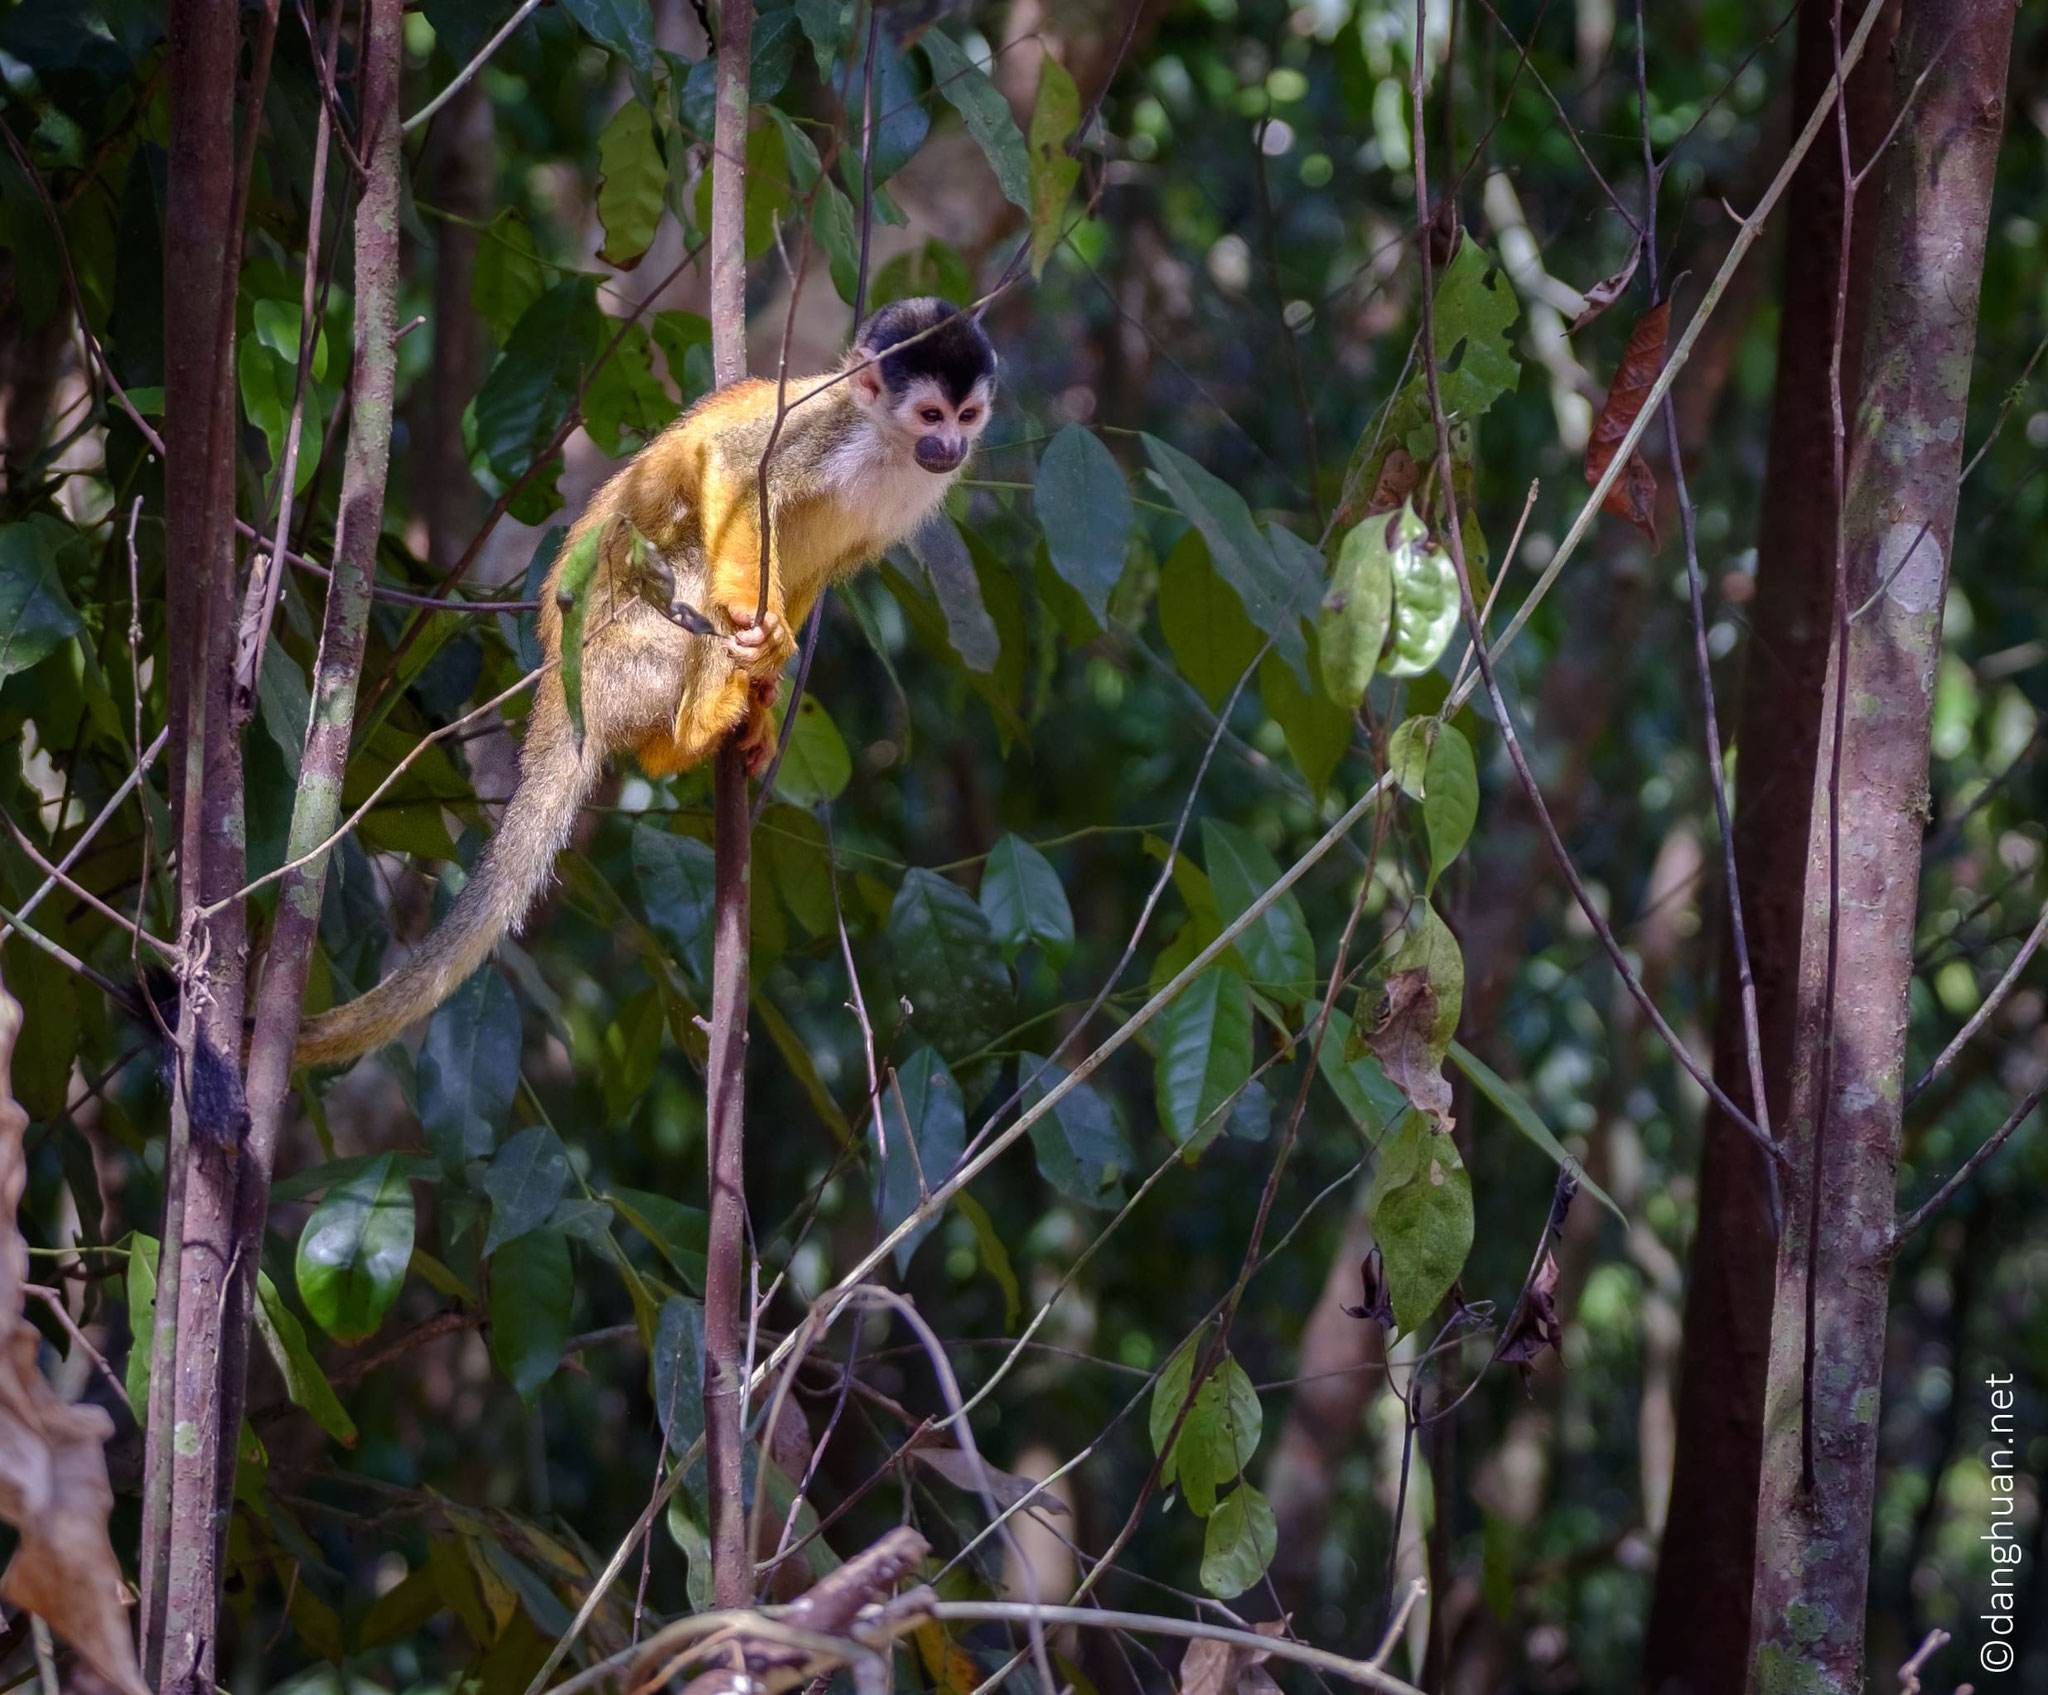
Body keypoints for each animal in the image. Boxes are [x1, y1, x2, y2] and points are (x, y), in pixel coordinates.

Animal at [293, 298, 996, 1069]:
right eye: (930, 415)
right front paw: (754, 624)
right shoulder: (827, 424)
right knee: (688, 561)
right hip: (618, 649)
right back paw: (696, 721)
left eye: (967, 416)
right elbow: (734, 464)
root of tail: (557, 680)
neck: (890, 448)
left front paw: (771, 675)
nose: (950, 447)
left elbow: (823, 568)